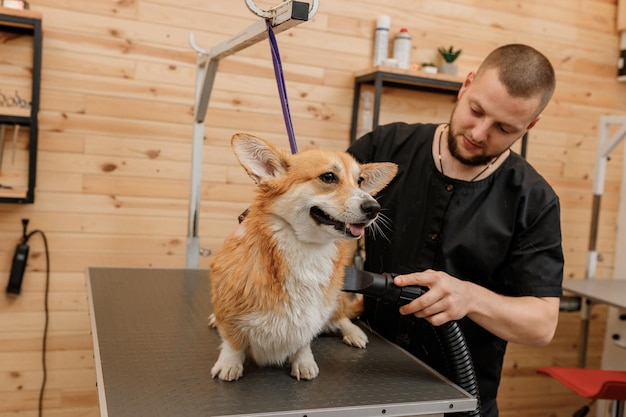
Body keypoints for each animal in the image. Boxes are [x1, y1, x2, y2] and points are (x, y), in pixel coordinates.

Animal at [208, 133, 394, 380]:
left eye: (360, 181)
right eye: (328, 177)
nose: (374, 208)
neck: (308, 248)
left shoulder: (313, 315)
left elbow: (304, 341)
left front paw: (304, 362)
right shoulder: (229, 307)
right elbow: (233, 342)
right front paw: (229, 364)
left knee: (341, 316)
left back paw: (354, 332)